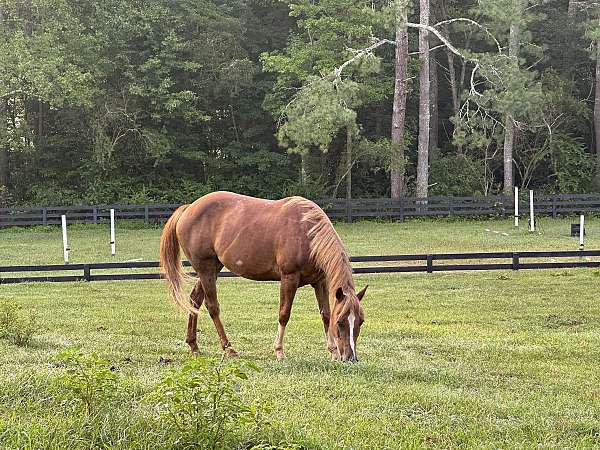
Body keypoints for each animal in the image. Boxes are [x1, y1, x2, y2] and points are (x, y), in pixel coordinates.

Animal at [159, 191, 366, 362]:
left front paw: (332, 351)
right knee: (212, 307)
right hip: (205, 269)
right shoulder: (289, 278)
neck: (306, 232)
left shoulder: (320, 282)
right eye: (341, 322)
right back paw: (228, 349)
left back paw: (193, 345)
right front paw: (279, 351)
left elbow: (325, 315)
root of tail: (188, 209)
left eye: (360, 321)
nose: (350, 358)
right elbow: (284, 314)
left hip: (212, 269)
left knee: (195, 300)